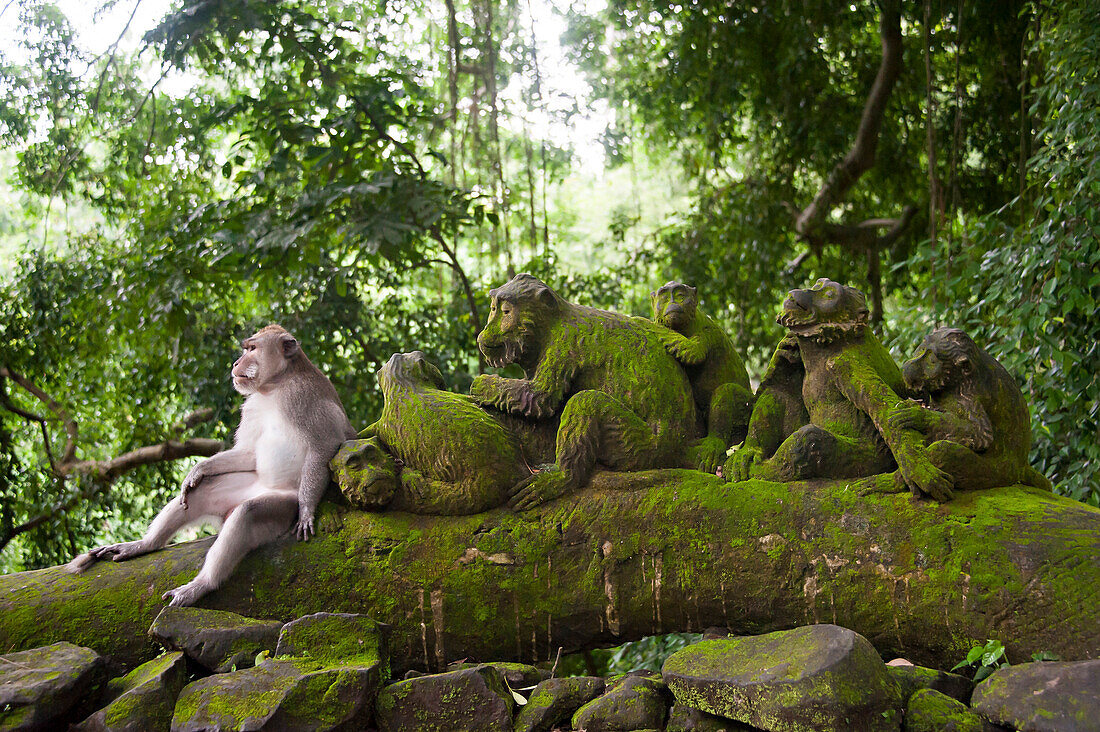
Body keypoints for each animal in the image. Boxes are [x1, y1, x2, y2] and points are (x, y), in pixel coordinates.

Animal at [69, 325, 352, 603]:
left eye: (252, 349)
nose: (236, 362)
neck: (274, 386)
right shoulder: (251, 405)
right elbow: (248, 453)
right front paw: (198, 470)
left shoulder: (303, 396)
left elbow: (324, 445)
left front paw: (306, 510)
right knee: (202, 492)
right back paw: (145, 544)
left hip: (280, 505)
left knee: (247, 512)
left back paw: (201, 584)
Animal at [646, 279, 752, 473]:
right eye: (664, 296)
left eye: (680, 295)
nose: (673, 302)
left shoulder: (708, 332)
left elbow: (690, 351)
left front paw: (643, 321)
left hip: (746, 410)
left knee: (726, 392)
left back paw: (713, 444)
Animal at [880, 330, 1051, 490]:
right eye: (922, 349)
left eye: (932, 361)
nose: (911, 364)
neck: (955, 380)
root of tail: (1022, 468)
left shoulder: (969, 397)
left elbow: (981, 435)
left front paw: (919, 416)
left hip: (996, 475)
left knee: (944, 451)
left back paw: (892, 482)